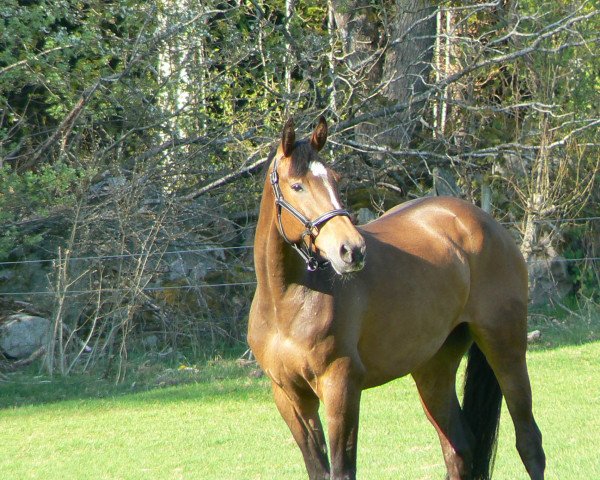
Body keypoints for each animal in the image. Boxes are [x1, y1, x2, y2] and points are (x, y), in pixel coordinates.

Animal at [246, 117, 548, 480]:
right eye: (297, 186)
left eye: (335, 180)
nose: (352, 250)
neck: (287, 302)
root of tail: (482, 222)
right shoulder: (290, 398)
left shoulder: (341, 387)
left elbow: (343, 470)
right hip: (433, 369)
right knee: (459, 448)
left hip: (506, 350)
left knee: (529, 443)